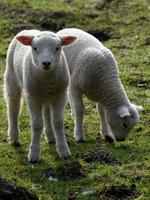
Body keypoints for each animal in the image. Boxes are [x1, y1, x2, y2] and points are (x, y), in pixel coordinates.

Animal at [4, 29, 77, 162]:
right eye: (35, 48)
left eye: (57, 48)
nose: (46, 63)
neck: (47, 78)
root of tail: (27, 30)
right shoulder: (32, 98)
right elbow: (37, 124)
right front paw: (34, 154)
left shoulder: (60, 96)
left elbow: (58, 122)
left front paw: (64, 150)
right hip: (11, 79)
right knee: (13, 108)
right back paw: (14, 138)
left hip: (47, 96)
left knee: (46, 113)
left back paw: (51, 136)